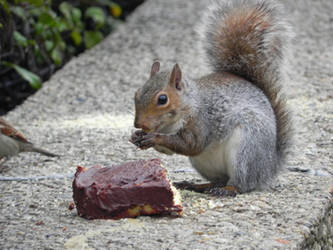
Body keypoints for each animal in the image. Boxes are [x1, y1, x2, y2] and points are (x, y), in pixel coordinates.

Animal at [130, 0, 290, 195]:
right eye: (136, 94)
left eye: (162, 99)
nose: (139, 124)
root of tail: (269, 167)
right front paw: (137, 136)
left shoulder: (201, 122)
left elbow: (192, 145)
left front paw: (153, 137)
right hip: (206, 164)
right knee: (218, 180)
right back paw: (196, 185)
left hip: (246, 150)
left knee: (241, 183)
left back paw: (227, 189)